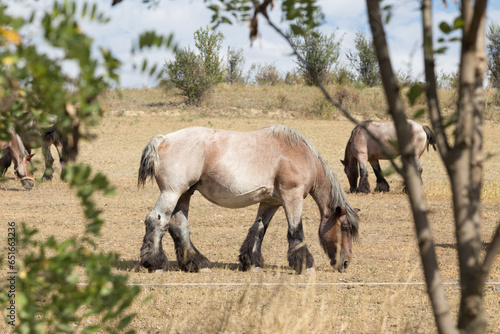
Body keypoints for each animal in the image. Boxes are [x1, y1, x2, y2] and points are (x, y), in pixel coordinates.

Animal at [136, 125, 360, 274]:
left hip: (184, 194)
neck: (301, 155)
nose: (346, 263)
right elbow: (296, 231)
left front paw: (251, 262)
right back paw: (155, 263)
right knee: (156, 220)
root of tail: (164, 139)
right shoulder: (292, 197)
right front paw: (305, 264)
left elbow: (258, 229)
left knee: (179, 226)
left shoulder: (270, 203)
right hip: (172, 193)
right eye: (344, 227)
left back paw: (196, 263)